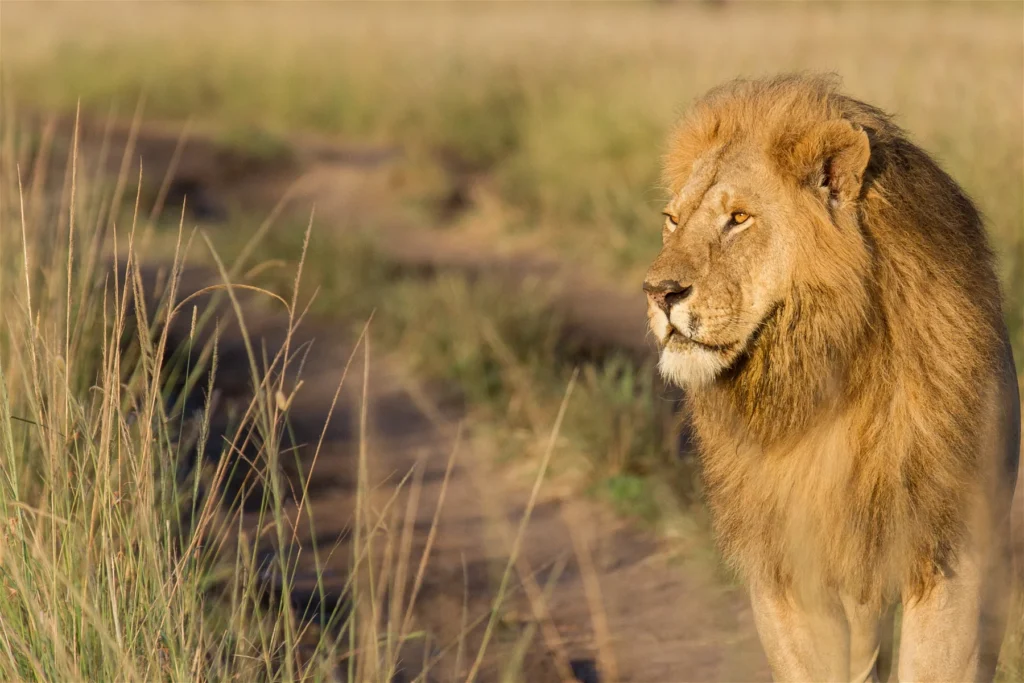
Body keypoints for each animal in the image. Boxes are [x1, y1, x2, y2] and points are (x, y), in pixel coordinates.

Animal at [643, 72, 1019, 679]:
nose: (658, 293)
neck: (825, 374)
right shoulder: (786, 567)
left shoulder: (952, 554)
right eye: (672, 221)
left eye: (739, 218)